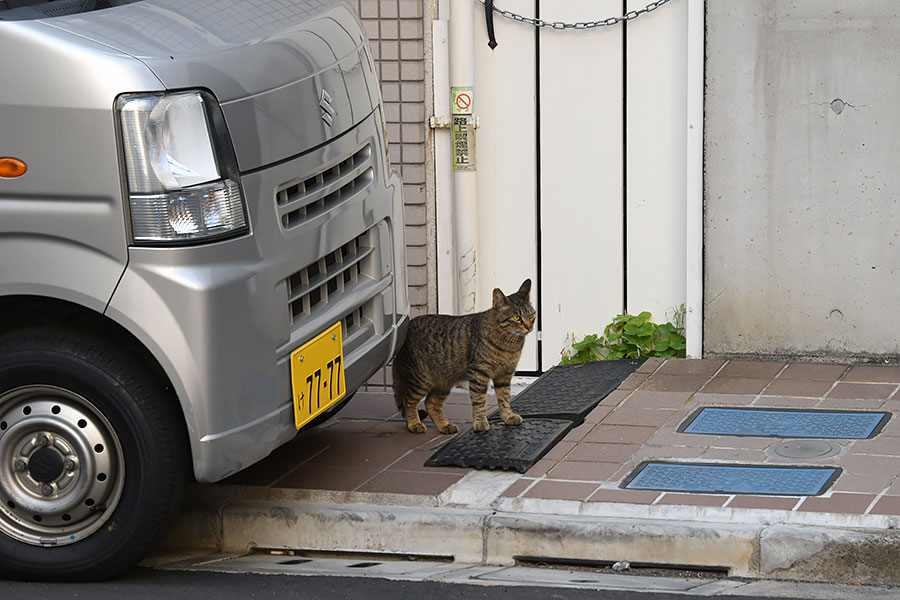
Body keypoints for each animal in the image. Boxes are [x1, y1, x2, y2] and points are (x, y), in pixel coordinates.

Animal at [394, 278, 536, 434]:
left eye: (531, 315)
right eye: (517, 317)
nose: (529, 327)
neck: (509, 344)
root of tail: (408, 326)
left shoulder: (504, 374)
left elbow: (504, 398)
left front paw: (508, 416)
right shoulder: (478, 372)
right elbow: (479, 400)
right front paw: (480, 422)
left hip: (443, 382)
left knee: (430, 403)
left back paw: (445, 425)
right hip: (420, 380)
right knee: (408, 401)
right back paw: (414, 424)